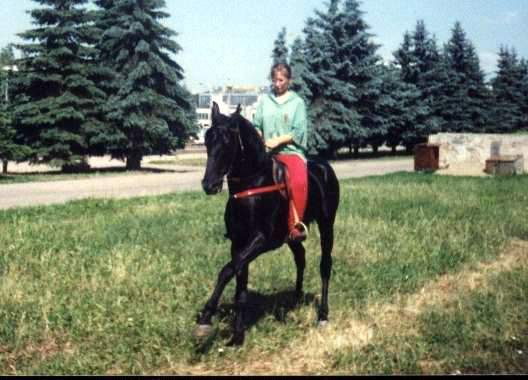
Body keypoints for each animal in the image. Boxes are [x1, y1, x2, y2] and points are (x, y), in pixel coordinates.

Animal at [196, 102, 340, 346]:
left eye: (228, 142)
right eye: (207, 140)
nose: (209, 185)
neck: (253, 185)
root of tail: (325, 168)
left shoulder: (262, 241)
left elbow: (227, 271)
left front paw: (206, 317)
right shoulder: (238, 243)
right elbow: (240, 283)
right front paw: (237, 336)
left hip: (327, 224)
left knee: (325, 265)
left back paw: (323, 315)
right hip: (293, 237)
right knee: (300, 258)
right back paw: (296, 298)